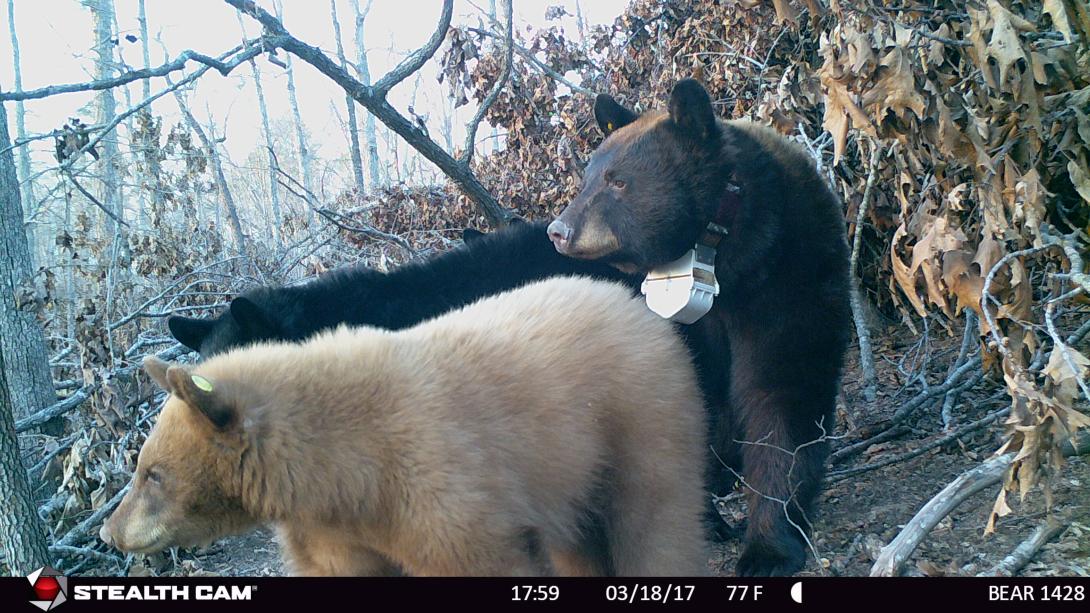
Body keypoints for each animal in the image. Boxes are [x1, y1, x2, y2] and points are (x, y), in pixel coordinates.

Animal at [549, 78, 845, 575]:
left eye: (618, 181)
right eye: (586, 180)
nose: (559, 230)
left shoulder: (789, 272)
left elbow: (782, 390)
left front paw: (768, 548)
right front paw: (704, 517)